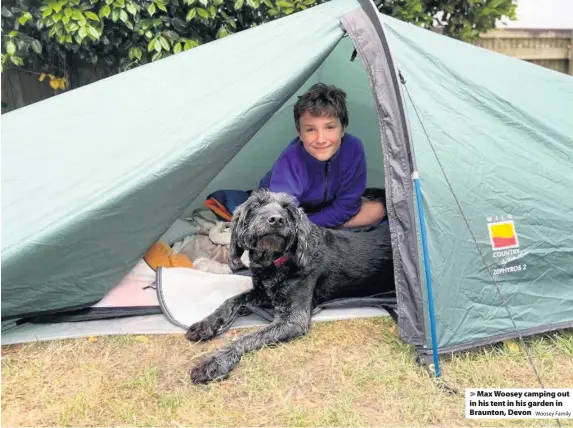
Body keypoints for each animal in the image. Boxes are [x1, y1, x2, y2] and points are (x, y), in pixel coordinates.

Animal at [183, 189, 394, 382]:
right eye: (256, 205)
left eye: (287, 209)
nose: (276, 220)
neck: (276, 261)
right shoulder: (263, 292)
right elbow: (231, 300)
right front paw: (205, 324)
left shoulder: (293, 318)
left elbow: (248, 337)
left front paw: (216, 361)